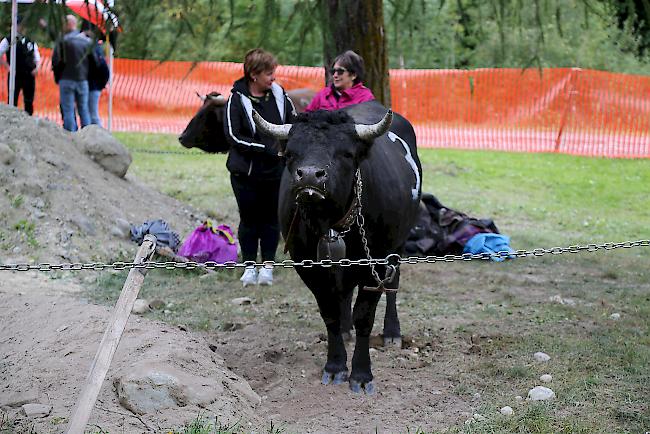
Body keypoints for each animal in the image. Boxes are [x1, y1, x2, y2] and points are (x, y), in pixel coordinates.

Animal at [253, 101, 420, 394]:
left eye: (345, 153)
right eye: (292, 152)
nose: (310, 175)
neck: (330, 223)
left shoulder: (375, 262)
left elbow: (364, 315)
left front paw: (362, 374)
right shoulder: (307, 266)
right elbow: (329, 312)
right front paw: (335, 365)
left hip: (397, 246)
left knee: (393, 284)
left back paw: (392, 332)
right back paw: (345, 328)